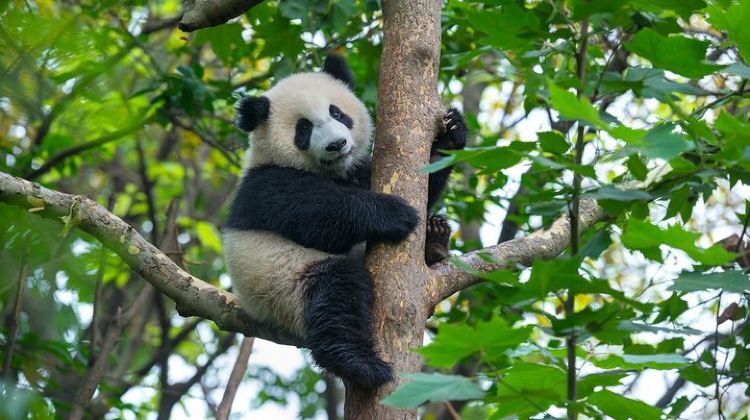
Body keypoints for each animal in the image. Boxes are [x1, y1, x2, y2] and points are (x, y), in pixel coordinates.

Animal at [222, 55, 467, 389]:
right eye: (303, 128)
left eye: (337, 113)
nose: (336, 144)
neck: (330, 171)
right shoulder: (267, 185)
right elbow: (318, 215)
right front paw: (394, 213)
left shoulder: (358, 170)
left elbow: (426, 179)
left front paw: (451, 134)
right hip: (282, 284)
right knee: (337, 295)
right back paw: (359, 364)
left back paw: (435, 239)